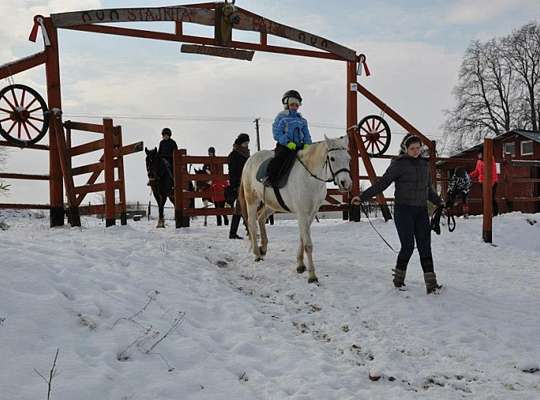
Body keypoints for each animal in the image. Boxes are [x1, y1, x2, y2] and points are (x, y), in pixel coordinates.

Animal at [238, 135, 352, 284]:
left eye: (349, 158)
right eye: (332, 158)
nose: (346, 183)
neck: (310, 178)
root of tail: (249, 160)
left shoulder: (310, 214)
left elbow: (302, 238)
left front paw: (300, 265)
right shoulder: (302, 214)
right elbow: (308, 244)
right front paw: (312, 276)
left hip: (272, 205)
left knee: (261, 218)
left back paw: (263, 248)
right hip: (252, 199)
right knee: (252, 222)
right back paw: (257, 254)